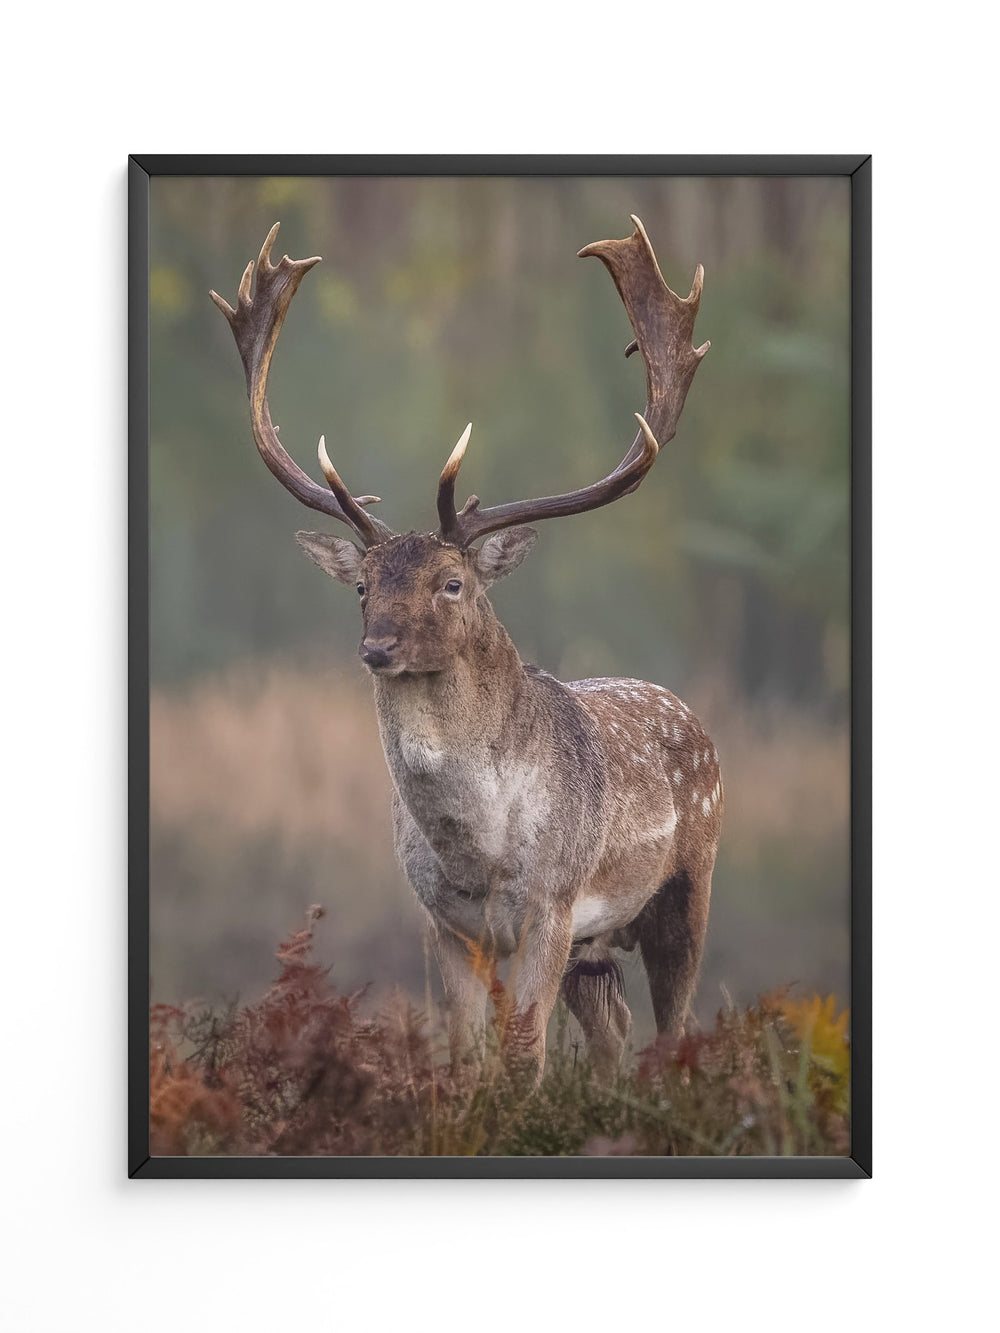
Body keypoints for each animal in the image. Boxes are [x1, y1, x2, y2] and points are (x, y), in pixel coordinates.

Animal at [209, 215, 722, 1083]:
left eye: (452, 582)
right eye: (362, 584)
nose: (378, 645)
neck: (478, 855)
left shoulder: (553, 902)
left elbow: (521, 1051)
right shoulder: (444, 920)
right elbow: (463, 1052)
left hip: (687, 885)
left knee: (672, 1032)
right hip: (597, 943)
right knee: (614, 1030)